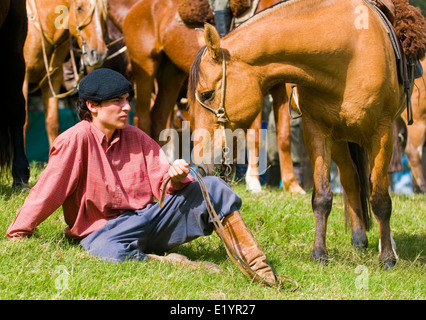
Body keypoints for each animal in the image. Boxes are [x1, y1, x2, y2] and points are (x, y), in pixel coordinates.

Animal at [23, 0, 108, 146]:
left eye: (104, 12)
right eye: (79, 8)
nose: (99, 54)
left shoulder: (53, 79)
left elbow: (52, 123)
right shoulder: (24, 80)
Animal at [123, 0, 306, 194]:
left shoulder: (281, 87)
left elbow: (284, 136)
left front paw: (292, 185)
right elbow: (255, 135)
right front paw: (254, 181)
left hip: (171, 74)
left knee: (158, 117)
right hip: (146, 68)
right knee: (142, 118)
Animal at [189, 0, 426, 268]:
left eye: (207, 94)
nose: (200, 164)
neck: (348, 51)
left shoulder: (382, 134)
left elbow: (380, 199)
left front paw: (387, 258)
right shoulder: (317, 131)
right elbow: (322, 196)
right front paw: (320, 254)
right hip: (341, 139)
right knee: (351, 178)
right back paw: (359, 238)